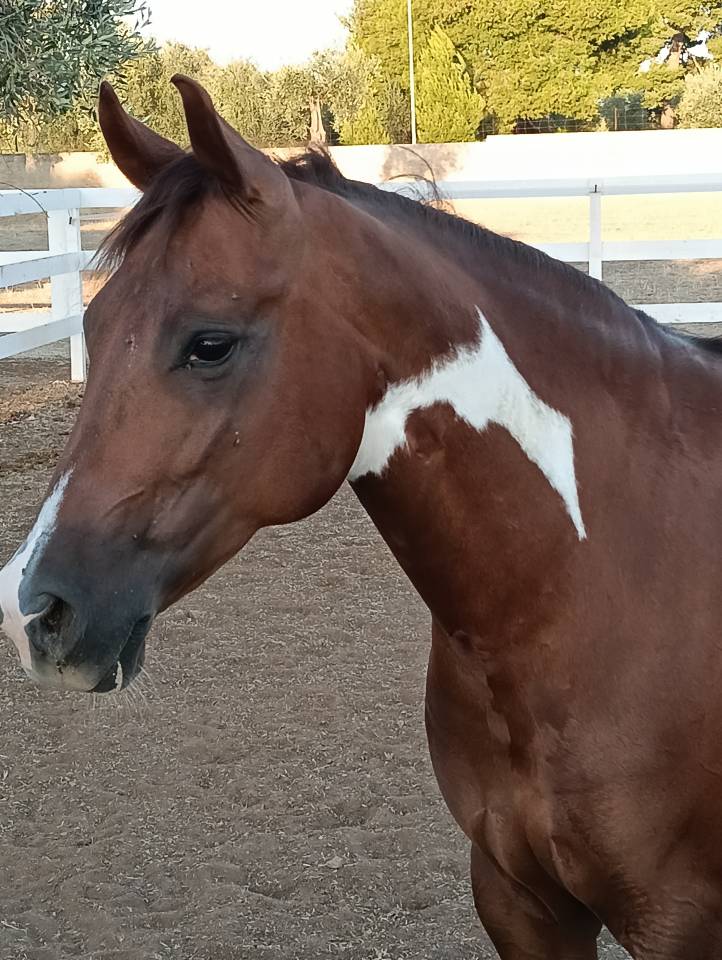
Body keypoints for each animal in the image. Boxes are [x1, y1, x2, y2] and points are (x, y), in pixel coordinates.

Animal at [1, 76, 721, 959]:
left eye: (210, 343)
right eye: (95, 329)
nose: (32, 610)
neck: (607, 582)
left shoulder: (679, 922)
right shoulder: (519, 899)